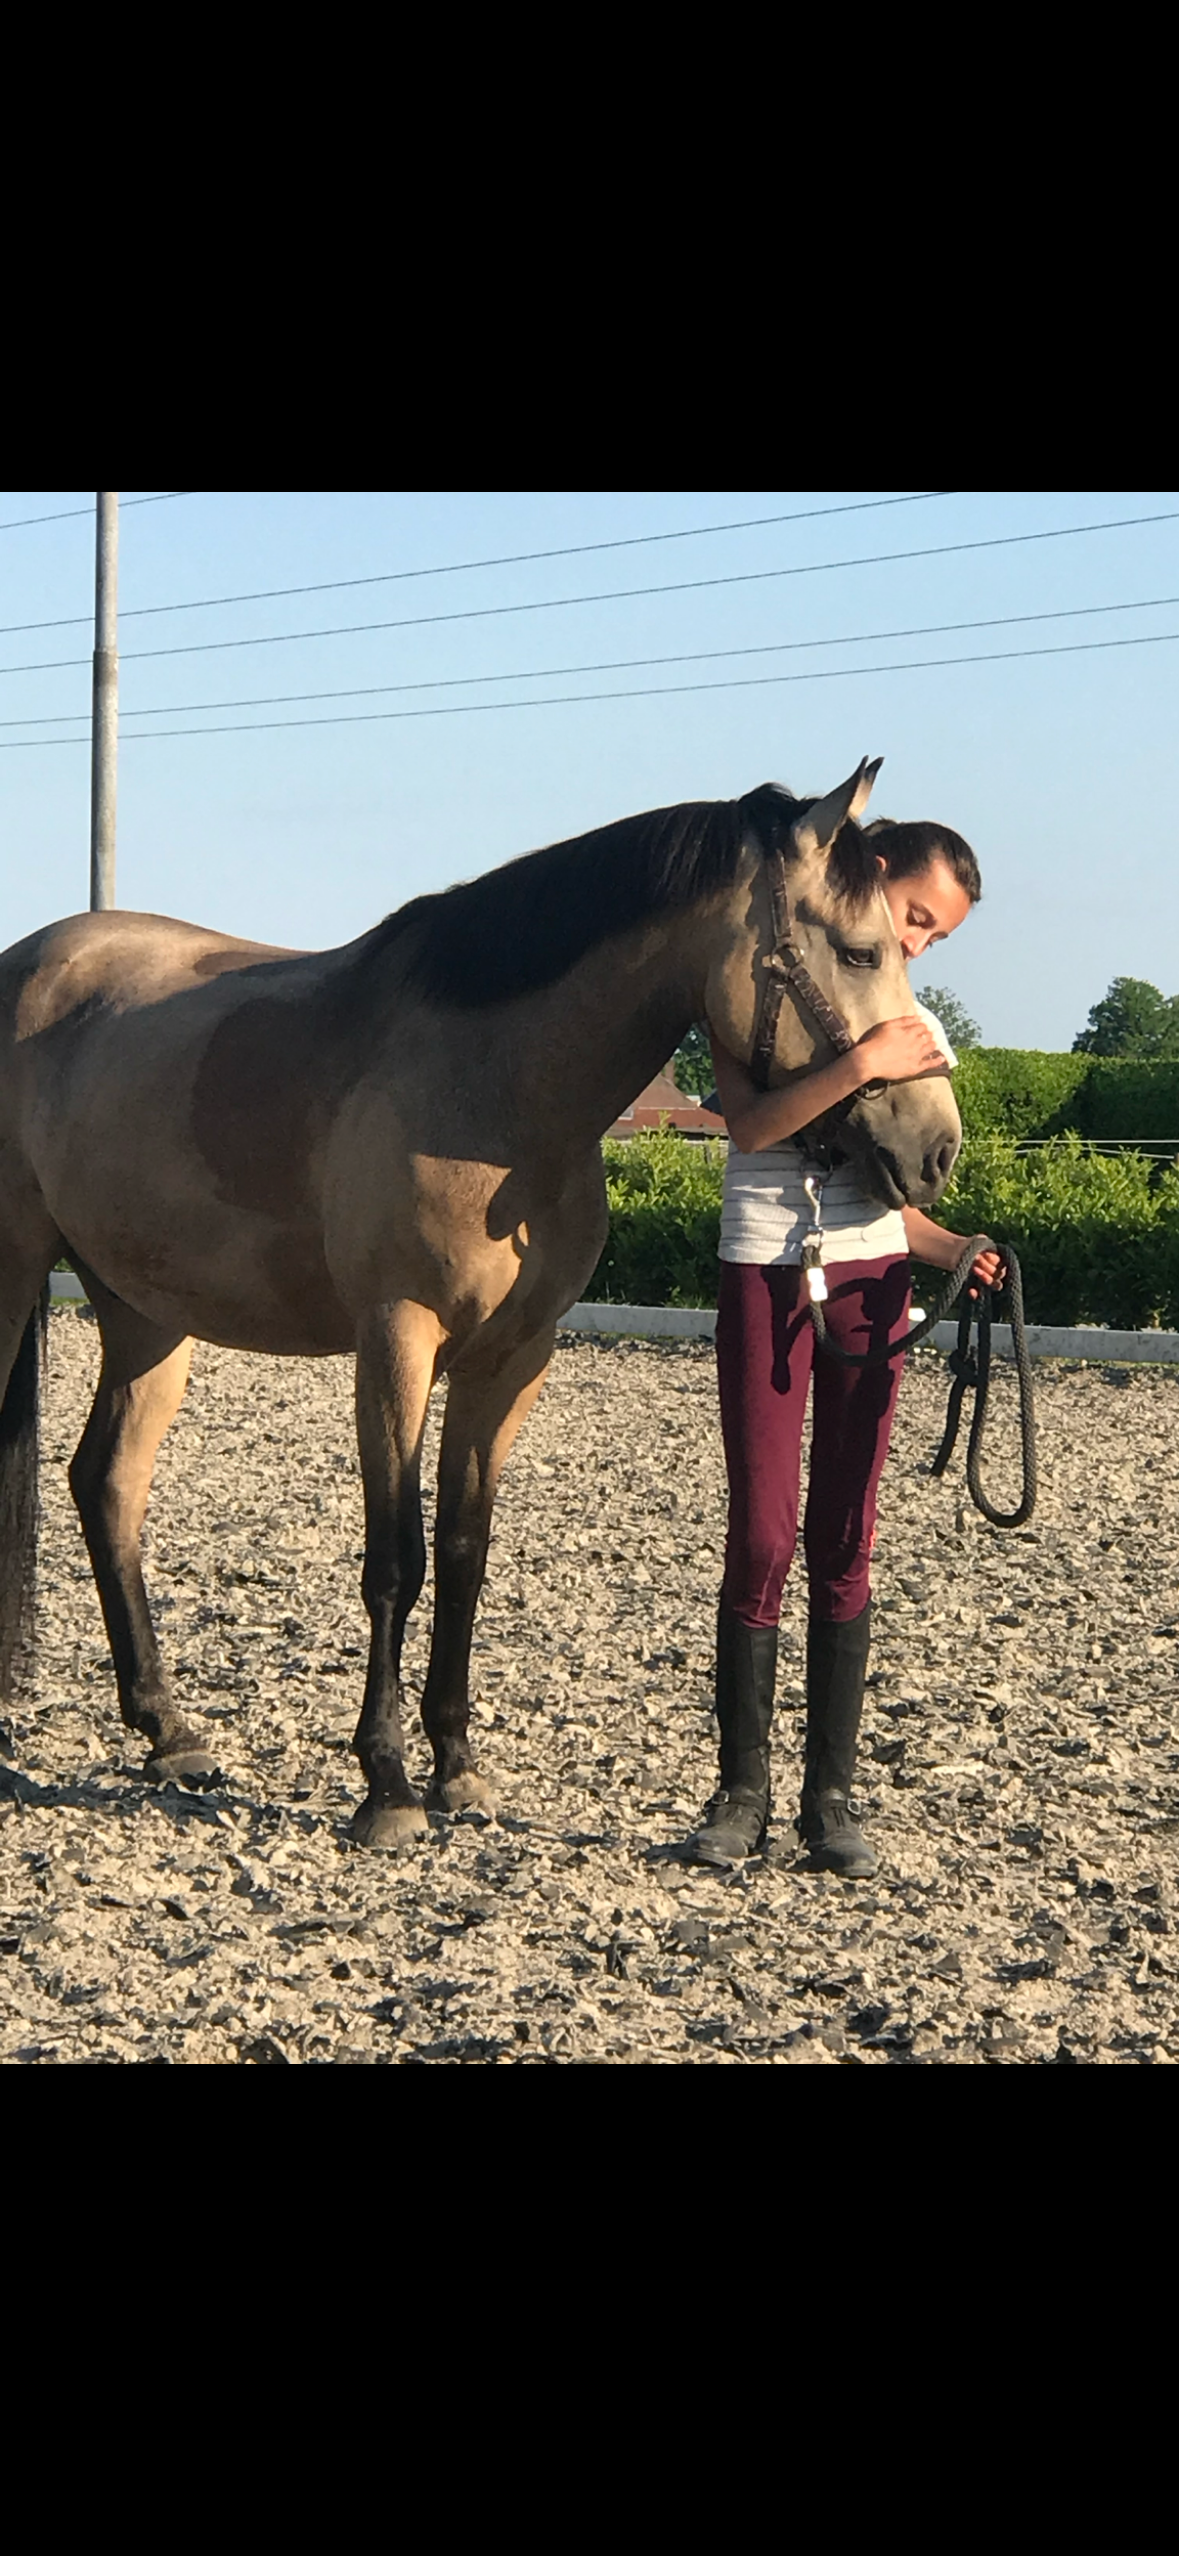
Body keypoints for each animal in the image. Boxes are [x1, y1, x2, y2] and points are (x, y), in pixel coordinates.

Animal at [0, 758, 962, 1847]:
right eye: (860, 948)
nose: (936, 1148)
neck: (495, 1094)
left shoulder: (511, 1358)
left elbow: (464, 1551)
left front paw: (455, 1766)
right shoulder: (397, 1340)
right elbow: (395, 1558)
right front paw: (386, 1786)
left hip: (147, 1312)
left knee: (107, 1484)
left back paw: (169, 1734)